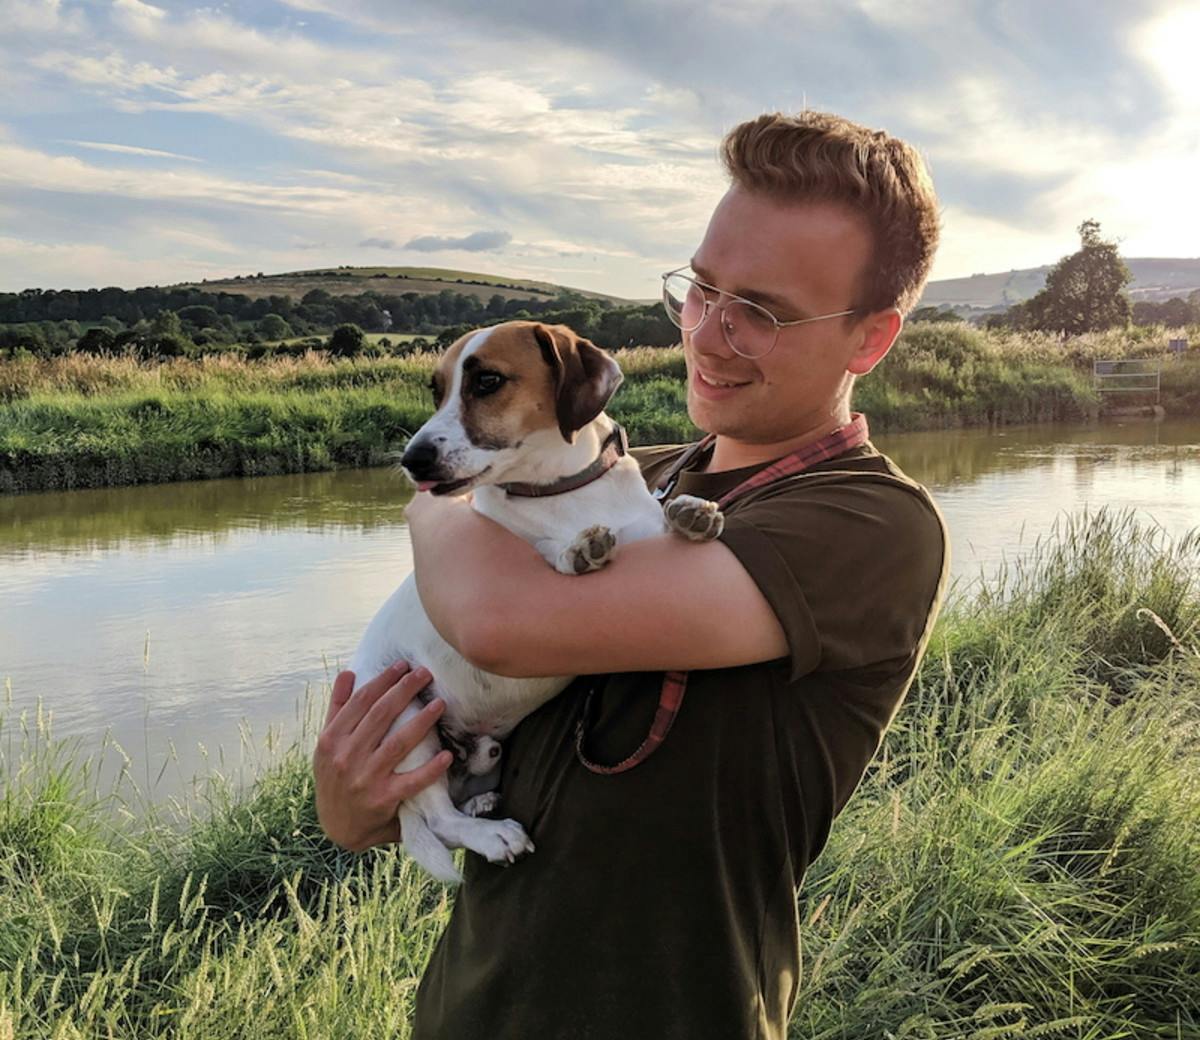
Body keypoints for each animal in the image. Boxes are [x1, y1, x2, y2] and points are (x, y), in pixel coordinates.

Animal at [348, 321, 720, 882]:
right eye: (436, 391)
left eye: (488, 381)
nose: (412, 462)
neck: (564, 492)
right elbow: (549, 549)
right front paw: (575, 550)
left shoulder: (640, 526)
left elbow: (659, 520)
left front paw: (689, 511)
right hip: (406, 719)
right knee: (438, 818)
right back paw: (490, 832)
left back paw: (481, 802)